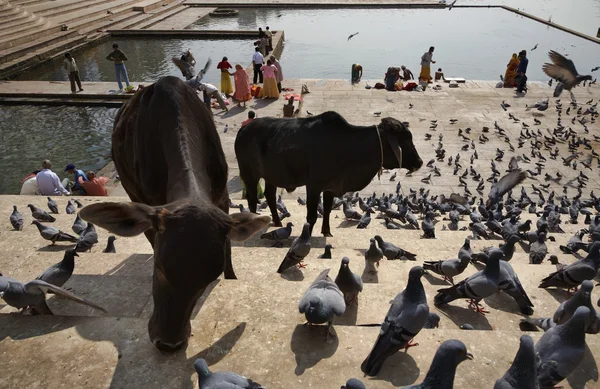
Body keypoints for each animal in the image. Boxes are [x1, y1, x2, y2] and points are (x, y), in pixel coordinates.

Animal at [79, 76, 270, 352]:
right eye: (159, 267)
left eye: (209, 277)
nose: (169, 343)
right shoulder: (149, 204)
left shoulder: (222, 198)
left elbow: (229, 254)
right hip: (129, 187)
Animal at [234, 110, 422, 235]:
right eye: (405, 139)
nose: (419, 162)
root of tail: (243, 130)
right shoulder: (313, 186)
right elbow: (311, 216)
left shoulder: (331, 186)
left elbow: (327, 210)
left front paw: (327, 232)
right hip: (249, 173)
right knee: (252, 199)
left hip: (271, 176)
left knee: (270, 196)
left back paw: (278, 222)